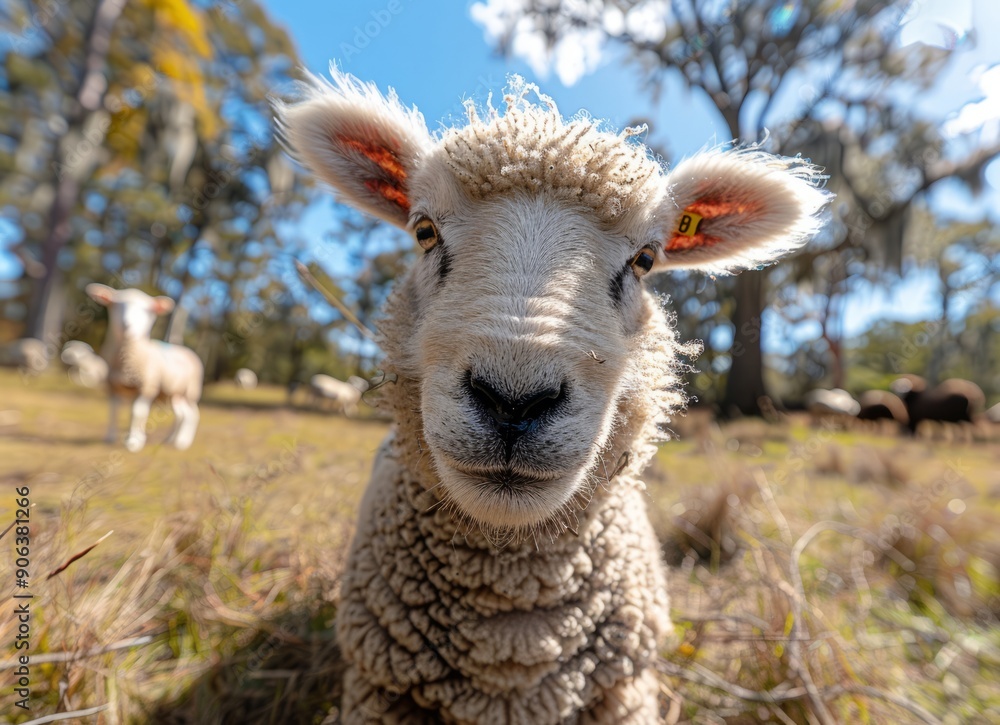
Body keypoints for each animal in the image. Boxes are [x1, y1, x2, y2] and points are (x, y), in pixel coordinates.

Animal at [86, 284, 204, 452]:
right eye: (115, 304)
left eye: (148, 310)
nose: (128, 324)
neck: (126, 362)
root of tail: (187, 350)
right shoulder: (112, 386)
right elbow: (113, 410)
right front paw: (110, 438)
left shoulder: (147, 386)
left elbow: (138, 412)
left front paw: (134, 442)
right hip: (172, 394)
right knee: (181, 415)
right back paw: (170, 440)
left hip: (190, 392)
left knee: (192, 415)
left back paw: (182, 442)